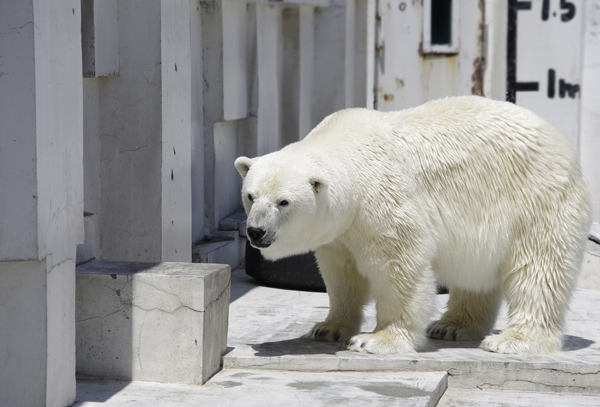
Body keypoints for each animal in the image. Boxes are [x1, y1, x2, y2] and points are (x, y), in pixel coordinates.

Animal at [234, 97, 592, 356]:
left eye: (283, 202)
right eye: (251, 196)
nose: (256, 231)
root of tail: (565, 145)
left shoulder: (383, 204)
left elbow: (399, 267)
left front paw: (375, 340)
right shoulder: (340, 233)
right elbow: (341, 274)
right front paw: (328, 327)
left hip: (537, 200)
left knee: (538, 270)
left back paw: (511, 340)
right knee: (474, 274)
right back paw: (452, 326)